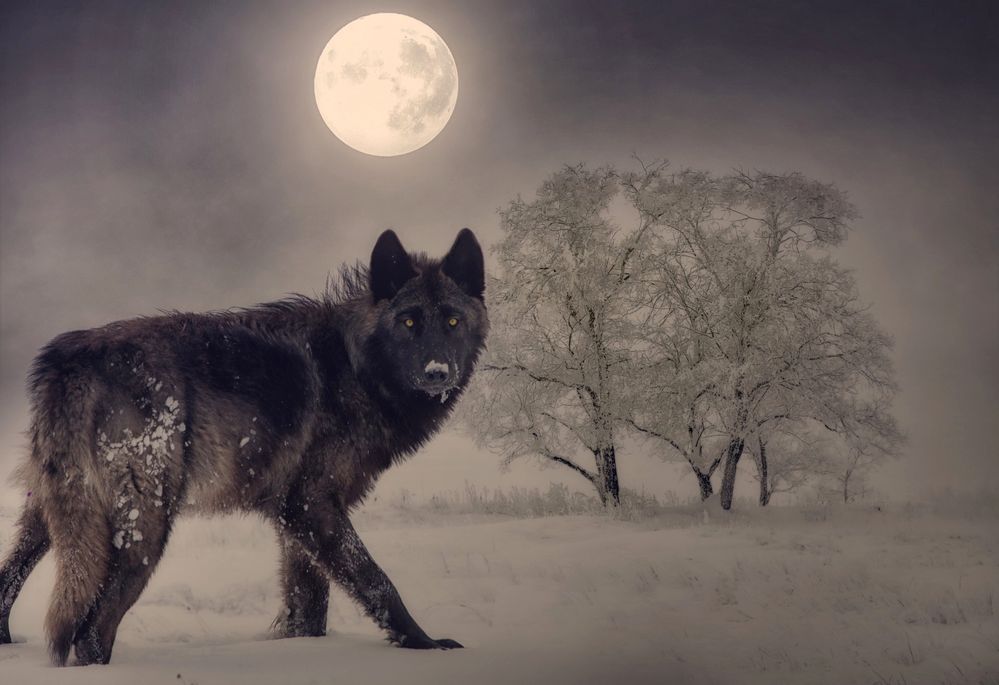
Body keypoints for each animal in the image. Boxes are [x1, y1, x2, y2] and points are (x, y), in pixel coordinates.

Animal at [0, 228, 487, 665]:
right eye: (409, 322)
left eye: (452, 321)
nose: (437, 372)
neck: (355, 366)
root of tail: (68, 360)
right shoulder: (311, 505)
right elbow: (377, 581)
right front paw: (426, 645)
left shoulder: (295, 522)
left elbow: (308, 607)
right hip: (145, 529)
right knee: (90, 632)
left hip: (52, 516)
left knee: (10, 578)